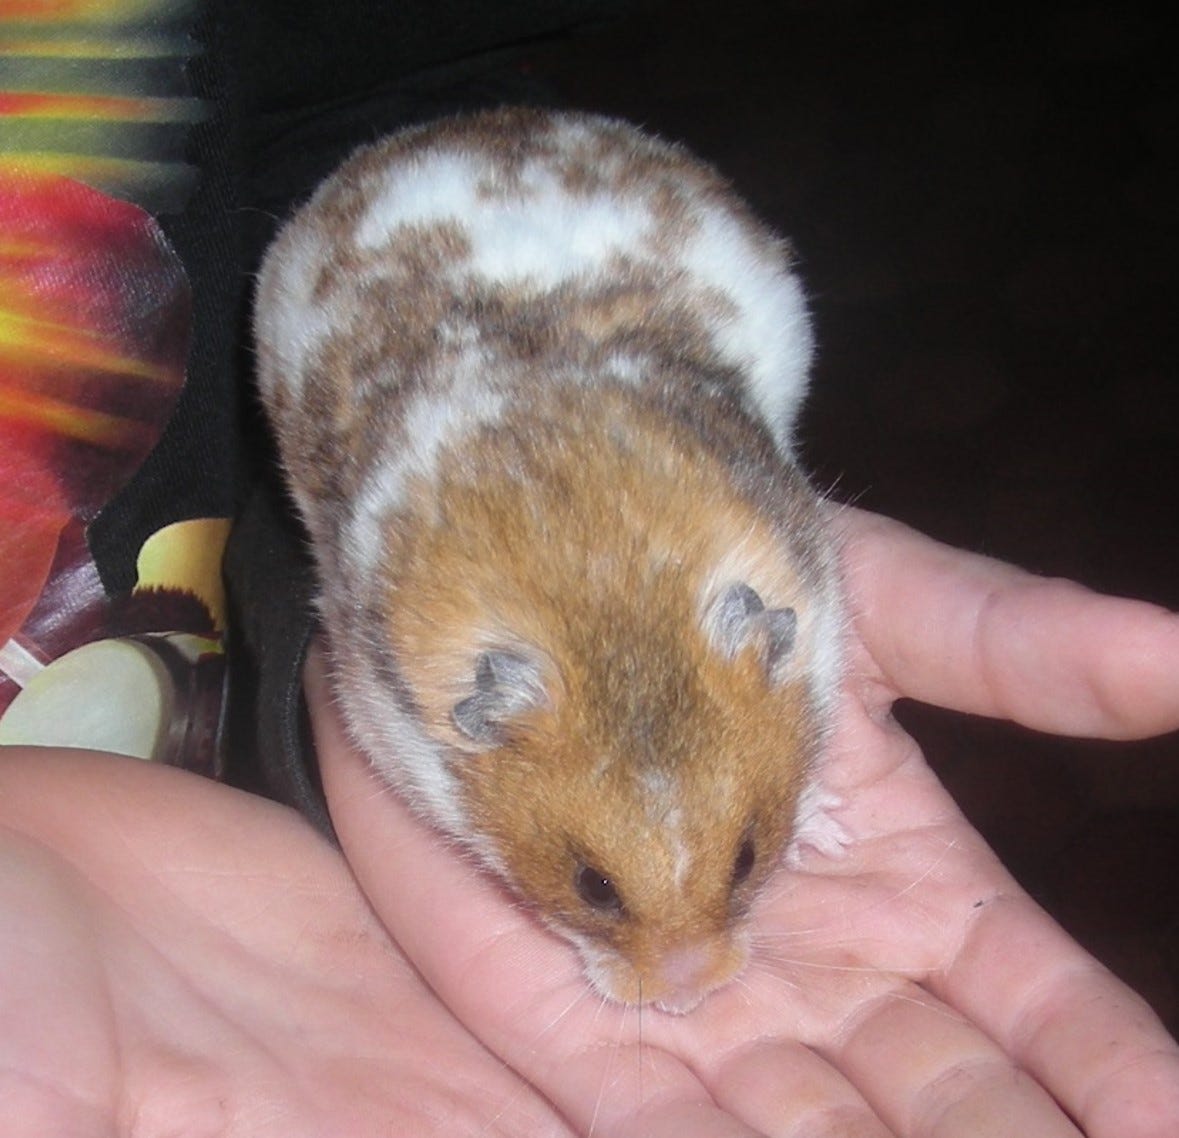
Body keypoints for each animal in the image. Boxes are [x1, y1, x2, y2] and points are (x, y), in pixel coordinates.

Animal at [254, 107, 844, 1014]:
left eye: (747, 855)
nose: (688, 996)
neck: (605, 601)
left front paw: (830, 832)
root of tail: (476, 123)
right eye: (591, 886)